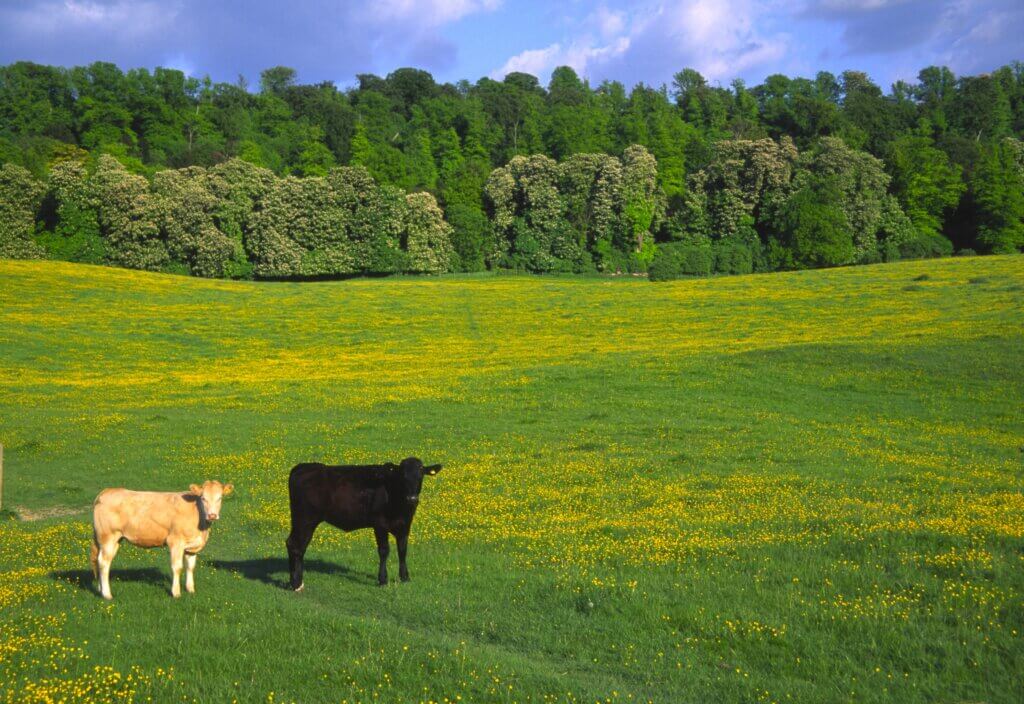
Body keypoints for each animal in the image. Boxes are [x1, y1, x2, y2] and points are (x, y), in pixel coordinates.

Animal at [90, 480, 233, 600]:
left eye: (220, 498)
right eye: (203, 498)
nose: (212, 515)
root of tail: (108, 491)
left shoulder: (192, 547)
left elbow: (190, 567)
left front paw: (191, 590)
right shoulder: (175, 542)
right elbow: (177, 567)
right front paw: (176, 593)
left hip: (112, 540)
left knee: (99, 561)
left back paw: (100, 590)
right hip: (108, 537)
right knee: (103, 562)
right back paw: (107, 594)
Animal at [285, 457, 442, 590]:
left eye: (421, 474)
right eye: (402, 476)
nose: (412, 498)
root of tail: (303, 466)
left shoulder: (405, 525)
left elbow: (402, 550)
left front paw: (405, 577)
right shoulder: (380, 524)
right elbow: (384, 551)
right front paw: (383, 580)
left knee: (298, 546)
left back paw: (297, 582)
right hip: (304, 519)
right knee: (295, 545)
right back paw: (296, 583)